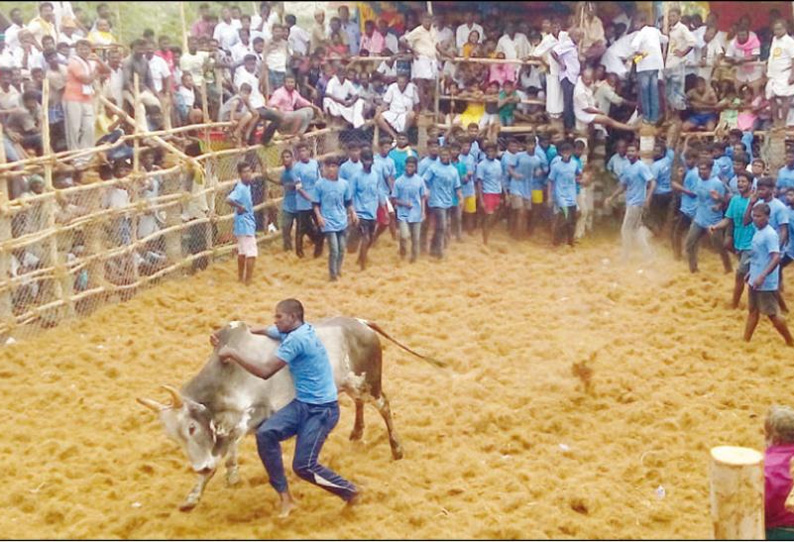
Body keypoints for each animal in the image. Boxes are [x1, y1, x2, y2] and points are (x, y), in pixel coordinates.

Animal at [135, 316, 440, 512]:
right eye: (173, 437)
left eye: (191, 428)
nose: (198, 466)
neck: (226, 378)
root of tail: (362, 323)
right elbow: (227, 450)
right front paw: (225, 478)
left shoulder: (253, 416)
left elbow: (222, 451)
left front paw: (199, 489)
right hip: (350, 384)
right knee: (359, 404)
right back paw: (356, 433)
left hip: (369, 383)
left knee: (384, 405)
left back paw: (396, 448)